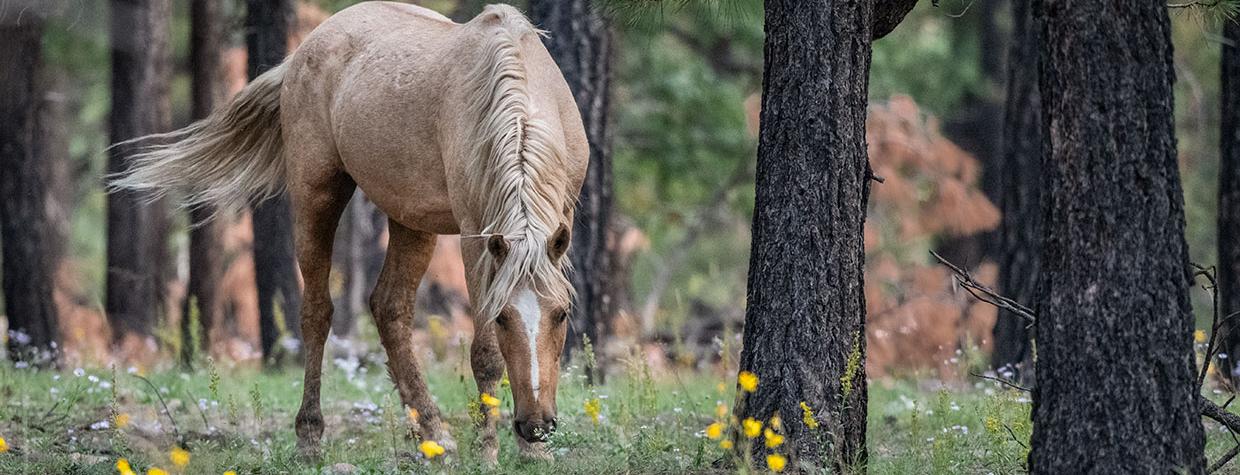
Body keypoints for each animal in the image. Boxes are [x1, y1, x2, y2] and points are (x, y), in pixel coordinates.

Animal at [110, 1, 585, 466]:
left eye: (562, 314)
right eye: (502, 318)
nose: (535, 424)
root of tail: (302, 53)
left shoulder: (559, 222)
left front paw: (534, 452)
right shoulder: (475, 235)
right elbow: (485, 355)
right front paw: (488, 452)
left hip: (410, 219)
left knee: (389, 307)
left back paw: (433, 434)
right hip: (316, 195)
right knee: (317, 313)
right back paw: (311, 436)